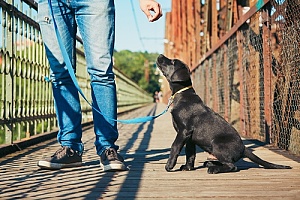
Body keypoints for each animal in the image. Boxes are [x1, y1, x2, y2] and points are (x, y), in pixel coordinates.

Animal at [156, 54, 292, 173]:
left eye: (173, 61)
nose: (160, 55)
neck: (182, 94)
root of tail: (243, 148)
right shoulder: (189, 137)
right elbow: (190, 153)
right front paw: (188, 167)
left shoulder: (184, 131)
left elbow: (175, 147)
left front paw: (169, 166)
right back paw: (211, 164)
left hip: (217, 144)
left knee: (232, 166)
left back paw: (214, 169)